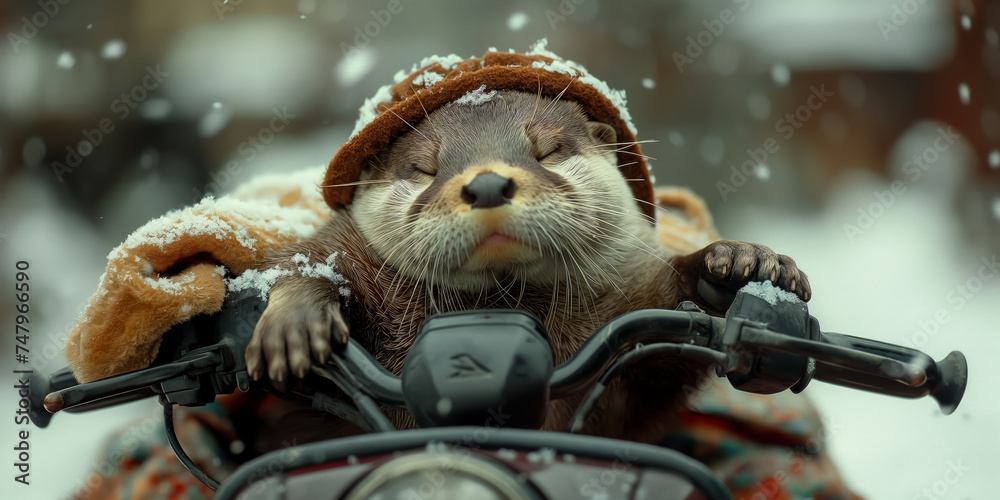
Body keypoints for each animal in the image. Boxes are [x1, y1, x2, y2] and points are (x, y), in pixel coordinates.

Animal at [244, 90, 809, 444]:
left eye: (548, 150)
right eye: (425, 167)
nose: (488, 183)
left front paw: (743, 262)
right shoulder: (345, 246)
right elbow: (309, 259)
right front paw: (294, 324)